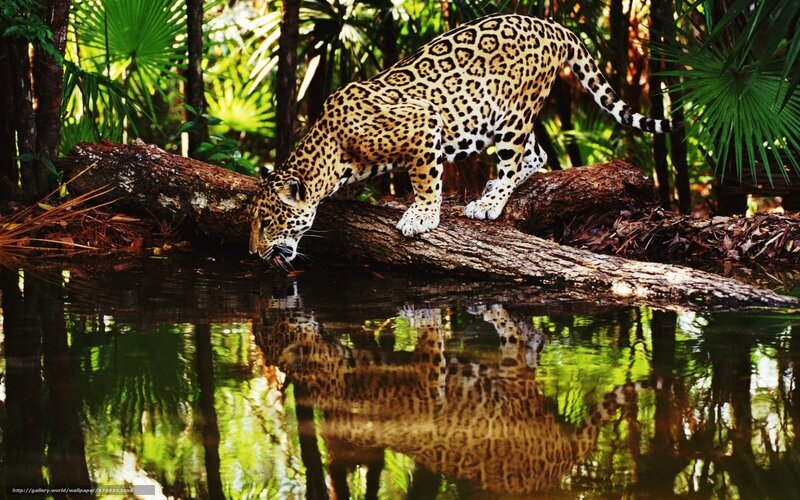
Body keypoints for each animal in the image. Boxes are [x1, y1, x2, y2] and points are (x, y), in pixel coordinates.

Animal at [249, 12, 681, 265]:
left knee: (515, 156)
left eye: (268, 221)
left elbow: (426, 179)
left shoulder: (423, 123)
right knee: (537, 152)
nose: (253, 252)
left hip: (512, 113)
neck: (331, 151)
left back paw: (489, 202)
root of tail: (549, 24)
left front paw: (421, 215)